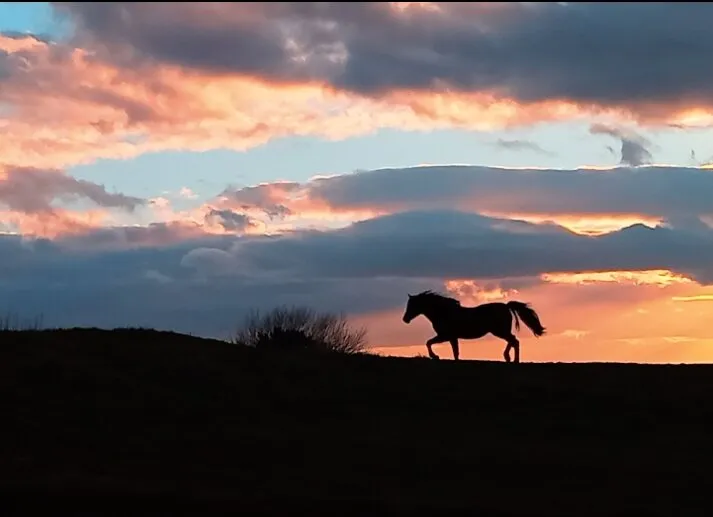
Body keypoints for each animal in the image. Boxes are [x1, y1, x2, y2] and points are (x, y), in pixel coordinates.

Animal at [401, 290, 546, 363]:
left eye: (413, 305)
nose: (405, 319)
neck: (444, 312)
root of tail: (506, 306)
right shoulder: (452, 337)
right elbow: (455, 353)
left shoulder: (445, 335)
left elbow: (429, 343)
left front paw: (435, 356)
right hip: (500, 331)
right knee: (514, 341)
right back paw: (509, 358)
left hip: (499, 331)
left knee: (514, 341)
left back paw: (511, 359)